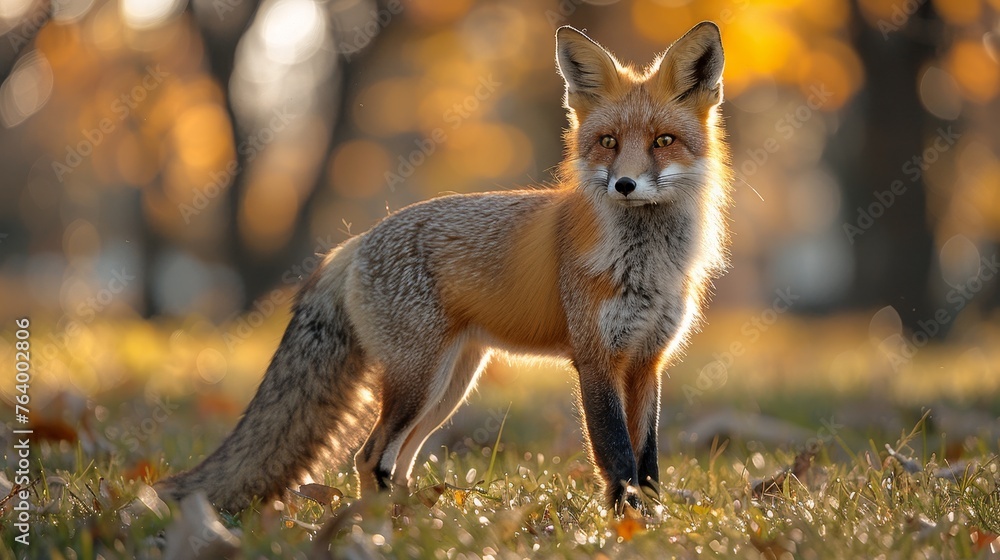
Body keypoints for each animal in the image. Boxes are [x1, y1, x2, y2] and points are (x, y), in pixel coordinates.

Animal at [159, 21, 732, 514]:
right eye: (608, 142)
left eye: (663, 141)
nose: (624, 185)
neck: (647, 266)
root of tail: (357, 241)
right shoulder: (595, 360)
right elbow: (616, 458)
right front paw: (626, 526)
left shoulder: (647, 361)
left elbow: (647, 461)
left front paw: (653, 522)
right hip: (420, 380)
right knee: (369, 455)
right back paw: (383, 525)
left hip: (449, 385)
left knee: (398, 461)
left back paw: (412, 519)